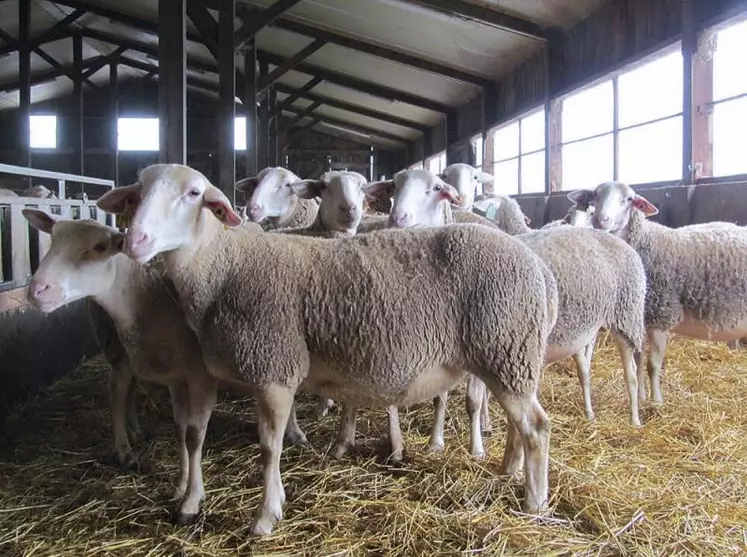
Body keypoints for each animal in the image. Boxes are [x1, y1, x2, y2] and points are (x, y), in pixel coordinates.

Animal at [98, 164, 556, 536]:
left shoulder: (274, 365)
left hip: (505, 349)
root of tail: (534, 264)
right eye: (136, 194)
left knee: (536, 427)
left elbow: (270, 446)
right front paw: (205, 503)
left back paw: (534, 501)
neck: (223, 268)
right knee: (521, 424)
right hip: (511, 357)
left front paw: (265, 518)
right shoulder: (233, 371)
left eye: (194, 193)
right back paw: (508, 469)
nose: (134, 240)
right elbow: (206, 435)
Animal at [568, 182, 747, 404]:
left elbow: (653, 364)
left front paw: (657, 401)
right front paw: (642, 396)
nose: (601, 220)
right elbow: (639, 359)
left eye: (628, 199)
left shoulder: (662, 315)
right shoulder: (640, 318)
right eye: (595, 195)